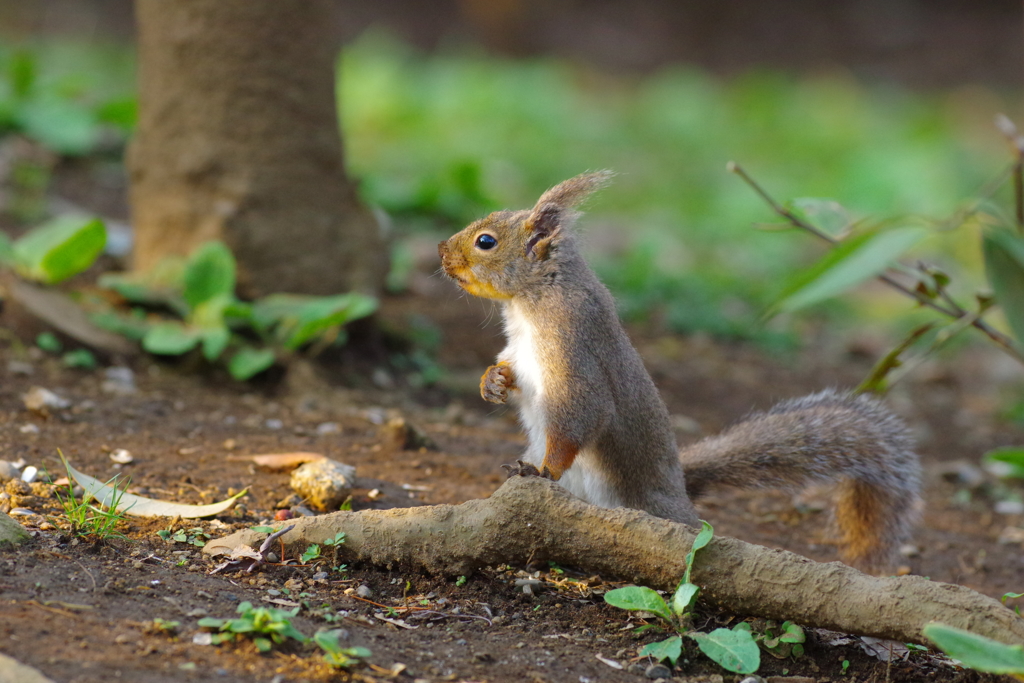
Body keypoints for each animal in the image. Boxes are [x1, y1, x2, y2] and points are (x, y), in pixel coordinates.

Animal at [436, 171, 925, 573]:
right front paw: (492, 382)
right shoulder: (520, 353)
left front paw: (543, 471)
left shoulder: (575, 353)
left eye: (485, 242)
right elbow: (513, 375)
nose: (441, 252)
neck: (530, 300)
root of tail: (680, 492)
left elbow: (582, 415)